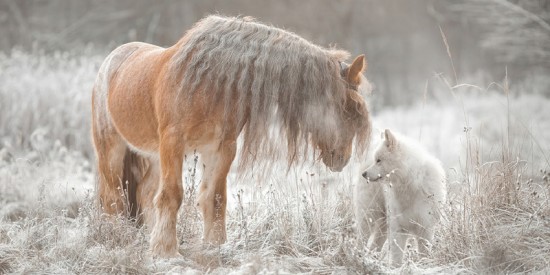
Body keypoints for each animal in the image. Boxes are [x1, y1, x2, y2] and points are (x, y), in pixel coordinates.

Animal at [91, 15, 376, 258]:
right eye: (348, 107)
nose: (343, 158)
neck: (210, 81)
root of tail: (110, 61)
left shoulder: (221, 148)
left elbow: (215, 199)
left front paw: (215, 246)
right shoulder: (173, 142)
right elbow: (172, 195)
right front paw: (166, 252)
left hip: (151, 155)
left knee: (145, 194)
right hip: (112, 149)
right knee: (114, 196)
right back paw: (116, 236)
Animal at [358, 130, 448, 268]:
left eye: (379, 160)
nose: (364, 174)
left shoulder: (425, 227)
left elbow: (424, 252)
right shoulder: (398, 228)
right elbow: (397, 255)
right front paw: (396, 268)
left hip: (383, 223)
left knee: (375, 244)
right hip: (369, 216)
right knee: (361, 239)